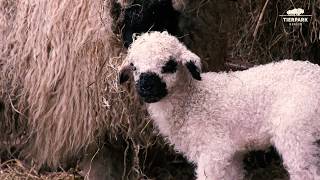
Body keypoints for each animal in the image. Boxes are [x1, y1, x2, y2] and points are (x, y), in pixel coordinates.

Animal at [119, 31, 320, 180]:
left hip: (296, 131)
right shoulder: (232, 155)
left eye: (170, 64)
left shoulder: (214, 150)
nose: (146, 87)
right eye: (134, 67)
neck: (192, 102)